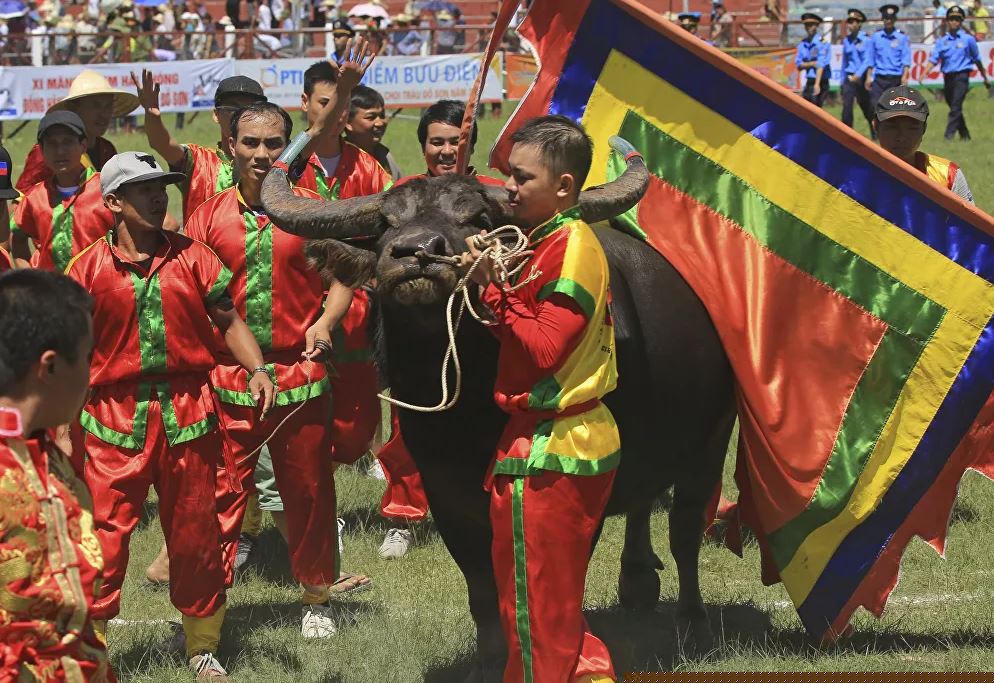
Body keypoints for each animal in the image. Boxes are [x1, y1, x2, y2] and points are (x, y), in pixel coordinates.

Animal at [261, 150, 737, 678]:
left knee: (686, 530)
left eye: (477, 219)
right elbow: (480, 582)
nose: (416, 252)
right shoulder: (445, 489)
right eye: (386, 222)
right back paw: (636, 582)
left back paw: (693, 620)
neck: (469, 412)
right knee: (643, 504)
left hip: (713, 440)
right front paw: (488, 657)